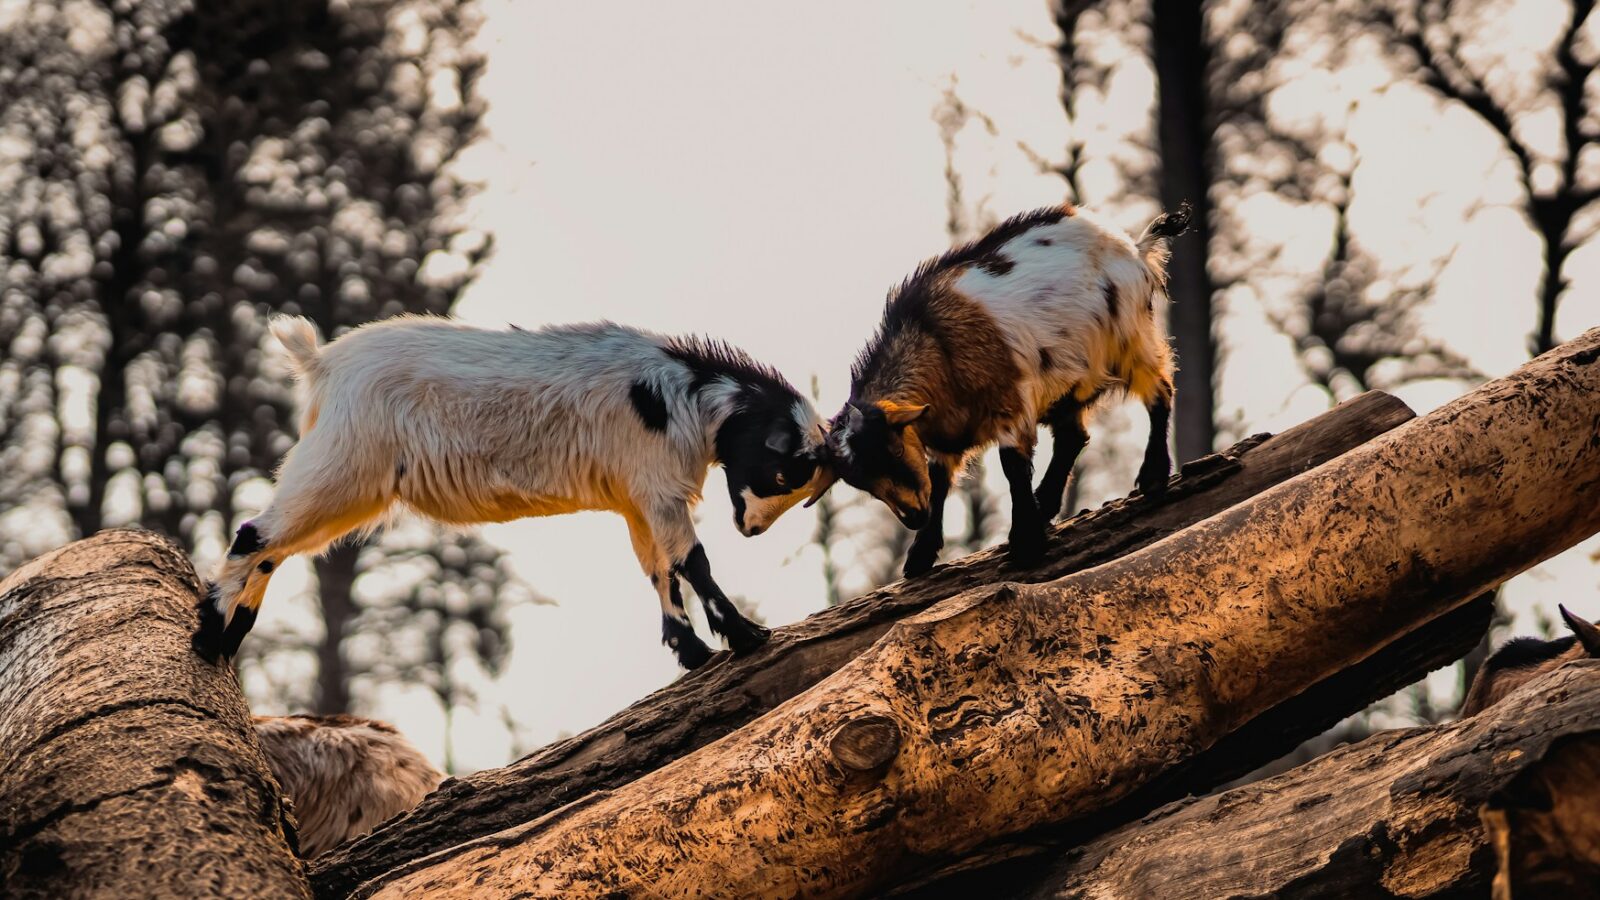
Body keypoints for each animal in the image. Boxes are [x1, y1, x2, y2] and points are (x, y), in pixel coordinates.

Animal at [195, 315, 828, 670]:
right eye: (781, 473)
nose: (751, 528)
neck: (684, 397)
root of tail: (321, 362)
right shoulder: (657, 485)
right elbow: (692, 561)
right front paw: (746, 635)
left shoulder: (637, 498)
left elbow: (658, 568)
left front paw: (689, 650)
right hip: (340, 466)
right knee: (255, 533)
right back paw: (208, 636)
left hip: (349, 484)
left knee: (274, 547)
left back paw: (231, 636)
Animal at [810, 202, 1189, 578]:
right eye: (862, 483)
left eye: (894, 450)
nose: (914, 518)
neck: (936, 346)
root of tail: (1134, 248)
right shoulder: (944, 439)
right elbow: (939, 481)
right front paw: (920, 556)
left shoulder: (1010, 405)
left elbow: (1012, 466)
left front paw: (1025, 544)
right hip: (1069, 382)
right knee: (1073, 437)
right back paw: (1046, 502)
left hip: (1130, 339)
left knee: (1159, 392)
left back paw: (1153, 475)